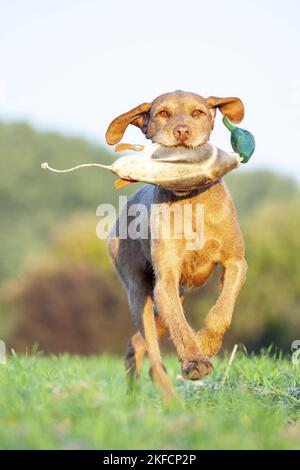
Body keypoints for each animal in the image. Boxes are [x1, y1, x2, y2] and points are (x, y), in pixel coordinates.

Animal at [106, 91, 247, 396]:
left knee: (136, 343)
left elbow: (222, 309)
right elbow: (181, 327)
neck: (191, 199)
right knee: (153, 354)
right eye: (162, 113)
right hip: (141, 293)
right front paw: (196, 360)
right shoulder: (166, 280)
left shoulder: (236, 263)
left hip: (167, 301)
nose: (182, 131)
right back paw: (169, 399)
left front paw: (206, 343)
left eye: (197, 113)